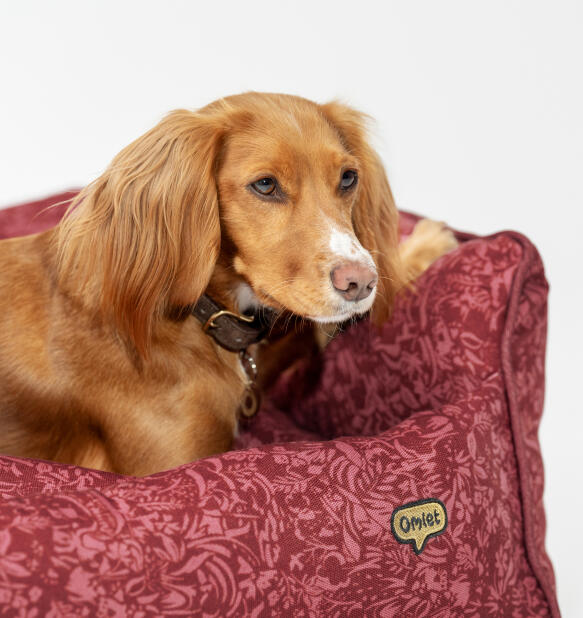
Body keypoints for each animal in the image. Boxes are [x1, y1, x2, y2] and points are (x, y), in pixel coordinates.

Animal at [0, 94, 456, 474]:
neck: (195, 315)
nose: (361, 283)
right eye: (265, 185)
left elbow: (309, 331)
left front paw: (418, 250)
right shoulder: (162, 467)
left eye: (348, 178)